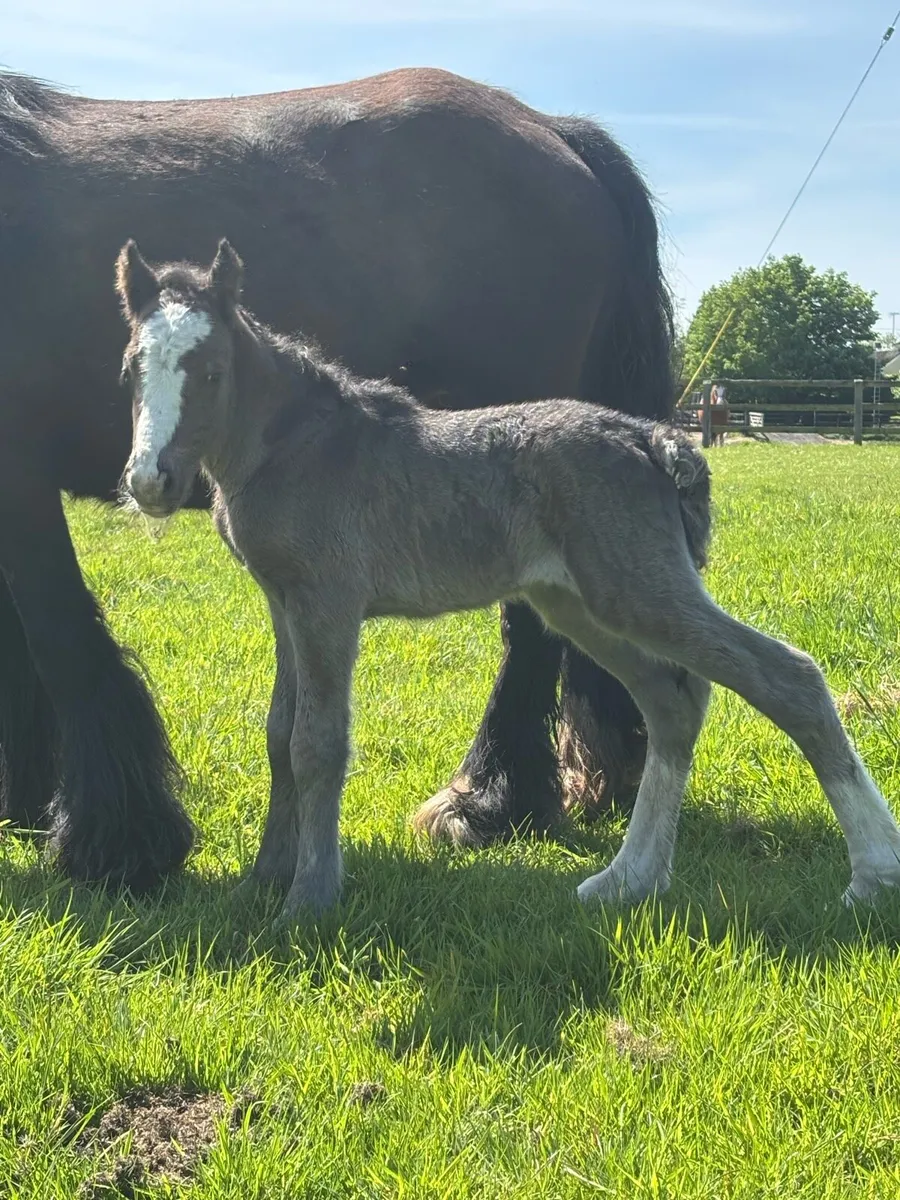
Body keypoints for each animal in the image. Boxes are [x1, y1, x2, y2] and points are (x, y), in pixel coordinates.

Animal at [0, 66, 674, 891]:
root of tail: (554, 129)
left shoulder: (20, 479)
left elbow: (60, 639)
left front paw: (116, 839)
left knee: (530, 633)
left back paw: (488, 800)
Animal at [115, 237, 900, 920]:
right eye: (130, 368)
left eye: (211, 369)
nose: (151, 481)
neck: (296, 444)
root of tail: (654, 438)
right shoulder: (283, 603)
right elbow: (281, 733)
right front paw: (262, 881)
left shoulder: (327, 604)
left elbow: (318, 742)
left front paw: (309, 900)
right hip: (582, 605)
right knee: (671, 703)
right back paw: (628, 880)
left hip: (638, 590)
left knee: (785, 676)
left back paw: (872, 874)